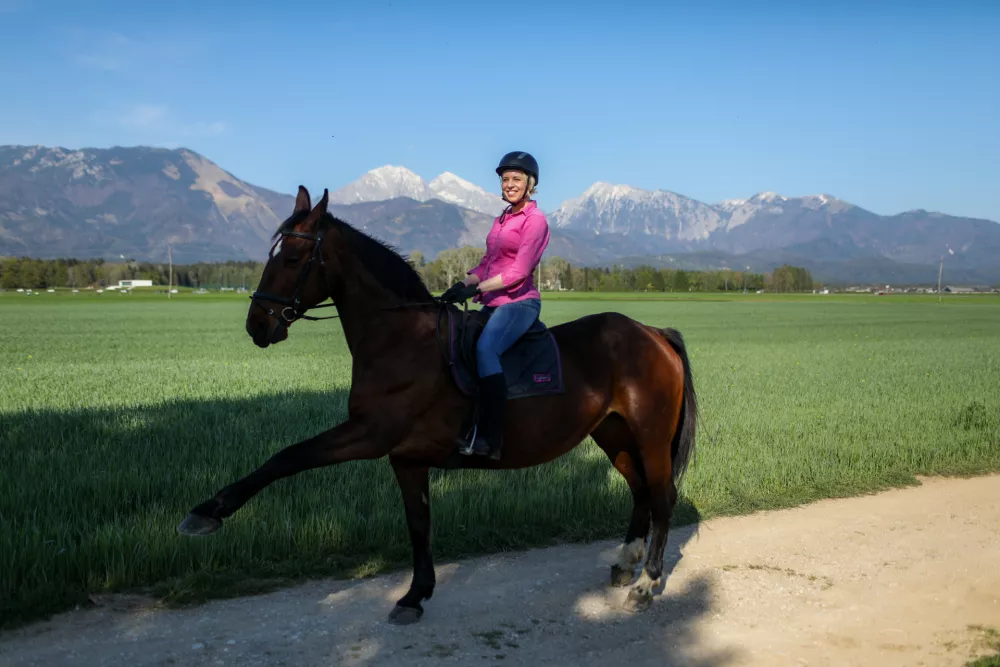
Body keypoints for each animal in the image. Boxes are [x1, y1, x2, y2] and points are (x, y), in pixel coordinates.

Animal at [178, 185, 696, 624]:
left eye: (291, 256)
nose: (257, 325)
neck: (400, 337)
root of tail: (652, 333)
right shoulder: (406, 457)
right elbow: (418, 524)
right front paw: (414, 595)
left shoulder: (370, 434)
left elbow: (288, 456)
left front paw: (207, 512)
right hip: (613, 433)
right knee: (640, 491)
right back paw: (625, 563)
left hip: (650, 434)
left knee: (662, 496)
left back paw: (646, 583)